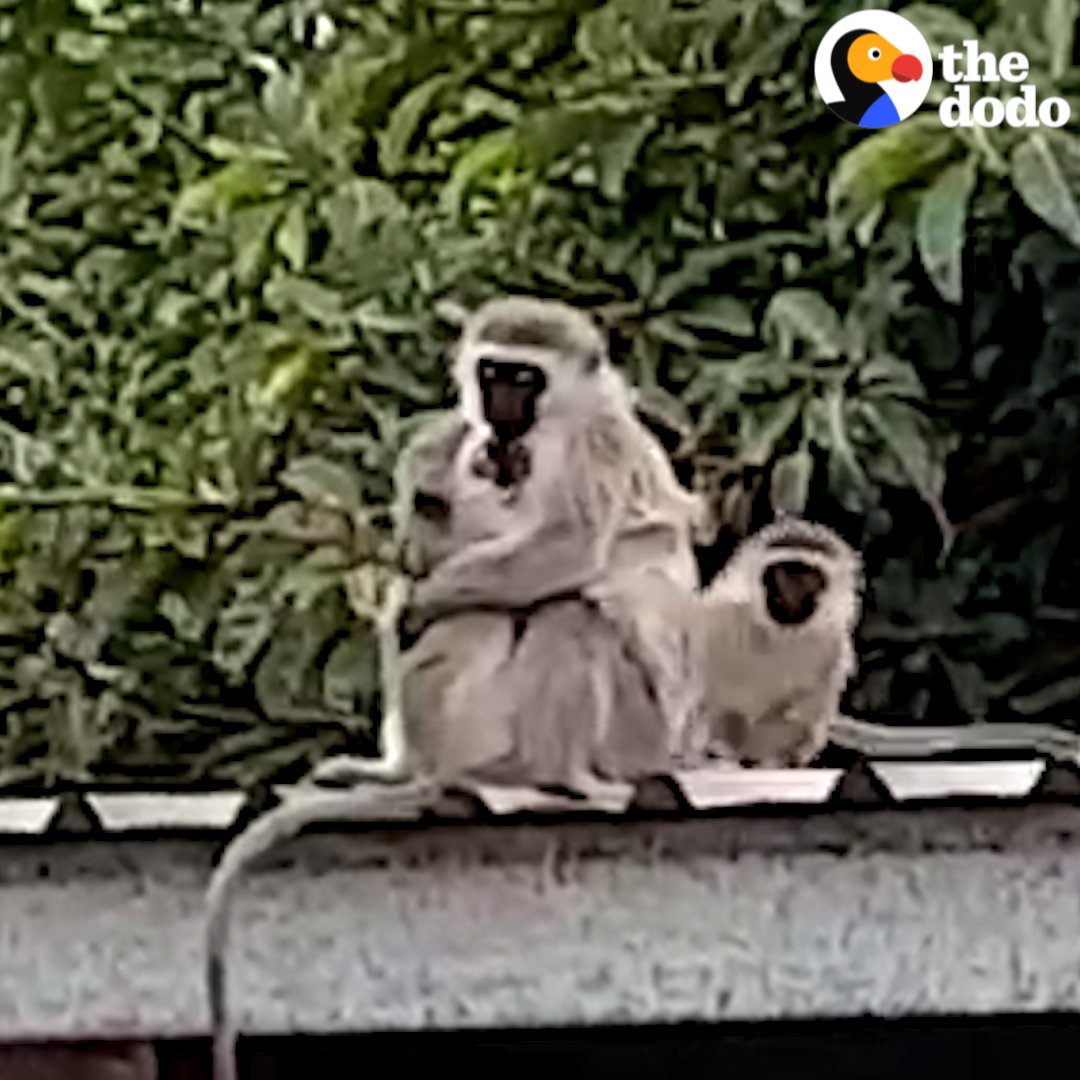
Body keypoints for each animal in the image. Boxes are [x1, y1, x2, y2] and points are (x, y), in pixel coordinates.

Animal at [681, 516, 864, 768]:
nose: (790, 596)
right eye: (781, 574)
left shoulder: (832, 644)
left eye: (808, 578)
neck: (778, 634)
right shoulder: (721, 617)